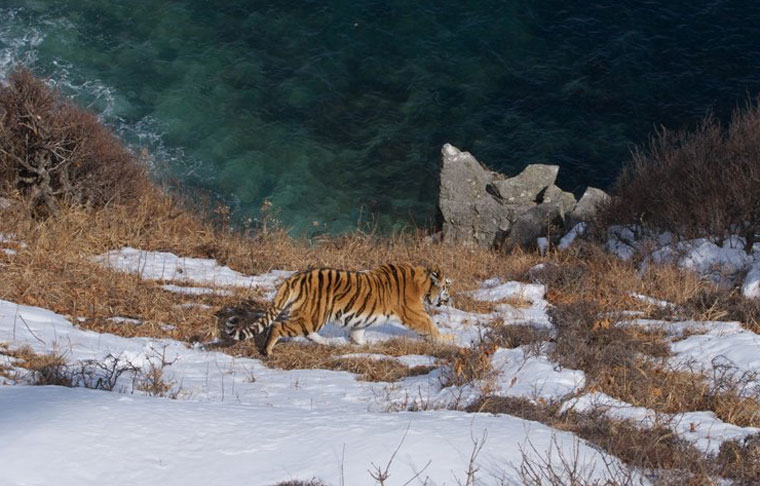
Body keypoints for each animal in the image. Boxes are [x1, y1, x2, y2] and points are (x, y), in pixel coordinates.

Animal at [223, 264, 454, 356]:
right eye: (447, 286)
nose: (450, 298)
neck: (423, 284)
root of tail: (294, 278)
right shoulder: (414, 313)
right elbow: (431, 325)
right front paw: (449, 339)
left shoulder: (362, 318)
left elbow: (358, 331)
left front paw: (363, 345)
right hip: (314, 315)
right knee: (279, 326)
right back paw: (269, 351)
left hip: (309, 315)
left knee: (306, 332)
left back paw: (327, 342)